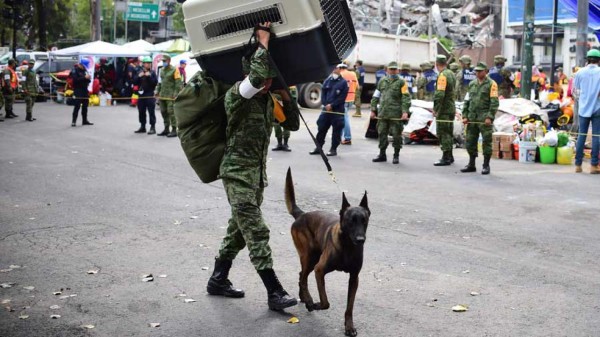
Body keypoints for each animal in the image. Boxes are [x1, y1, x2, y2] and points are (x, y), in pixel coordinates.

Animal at [284, 167, 368, 334]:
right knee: (303, 278)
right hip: (310, 258)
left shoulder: (354, 278)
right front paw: (316, 304)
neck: (347, 246)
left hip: (312, 258)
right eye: (351, 221)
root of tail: (302, 214)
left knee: (301, 275)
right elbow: (325, 302)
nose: (361, 239)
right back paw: (309, 301)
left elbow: (349, 307)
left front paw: (349, 327)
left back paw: (304, 298)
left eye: (364, 220)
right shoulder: (320, 270)